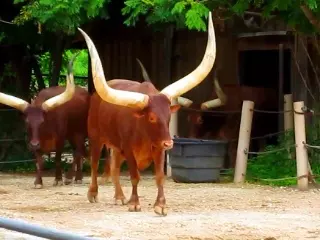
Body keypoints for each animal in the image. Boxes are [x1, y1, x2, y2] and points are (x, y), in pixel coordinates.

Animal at [0, 57, 89, 188]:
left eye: (42, 122)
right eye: (27, 122)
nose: (34, 144)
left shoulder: (59, 139)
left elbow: (57, 158)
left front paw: (58, 179)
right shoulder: (35, 141)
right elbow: (39, 161)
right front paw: (38, 182)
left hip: (79, 132)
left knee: (78, 152)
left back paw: (71, 177)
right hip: (71, 134)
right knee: (78, 151)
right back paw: (78, 177)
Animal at [79, 10, 216, 216]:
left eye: (168, 116)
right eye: (151, 117)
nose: (169, 143)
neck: (143, 131)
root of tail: (96, 96)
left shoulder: (158, 149)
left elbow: (160, 176)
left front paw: (160, 205)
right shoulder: (128, 149)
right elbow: (135, 176)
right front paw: (135, 203)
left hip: (116, 146)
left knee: (114, 167)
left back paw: (119, 196)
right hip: (96, 137)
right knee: (95, 163)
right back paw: (93, 194)